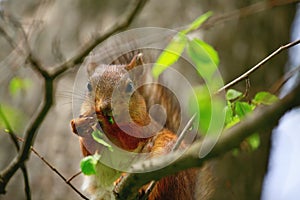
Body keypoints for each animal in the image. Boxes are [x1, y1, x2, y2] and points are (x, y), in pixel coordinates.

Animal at [69, 48, 197, 200]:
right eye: (89, 86)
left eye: (130, 86)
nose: (105, 107)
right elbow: (91, 152)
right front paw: (79, 124)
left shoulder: (145, 127)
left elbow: (131, 139)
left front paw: (107, 124)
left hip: (166, 155)